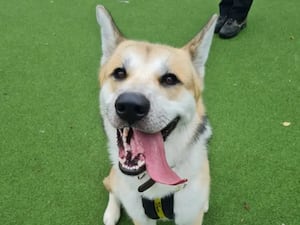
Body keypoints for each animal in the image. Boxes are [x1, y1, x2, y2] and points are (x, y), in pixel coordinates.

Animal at [97, 5, 217, 225]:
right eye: (119, 73)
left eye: (170, 79)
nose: (130, 106)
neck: (153, 180)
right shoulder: (141, 218)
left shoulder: (189, 216)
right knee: (110, 185)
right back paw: (111, 212)